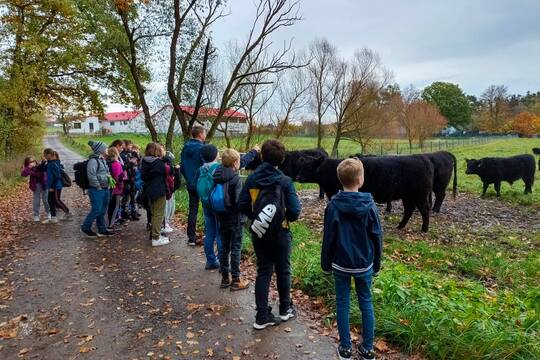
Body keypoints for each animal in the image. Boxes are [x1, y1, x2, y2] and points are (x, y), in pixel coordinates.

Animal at [296, 156, 434, 232]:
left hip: (420, 194)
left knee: (424, 210)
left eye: (309, 167)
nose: (297, 177)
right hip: (408, 196)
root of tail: (422, 159)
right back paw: (400, 226)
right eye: (301, 166)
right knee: (409, 210)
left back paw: (424, 229)